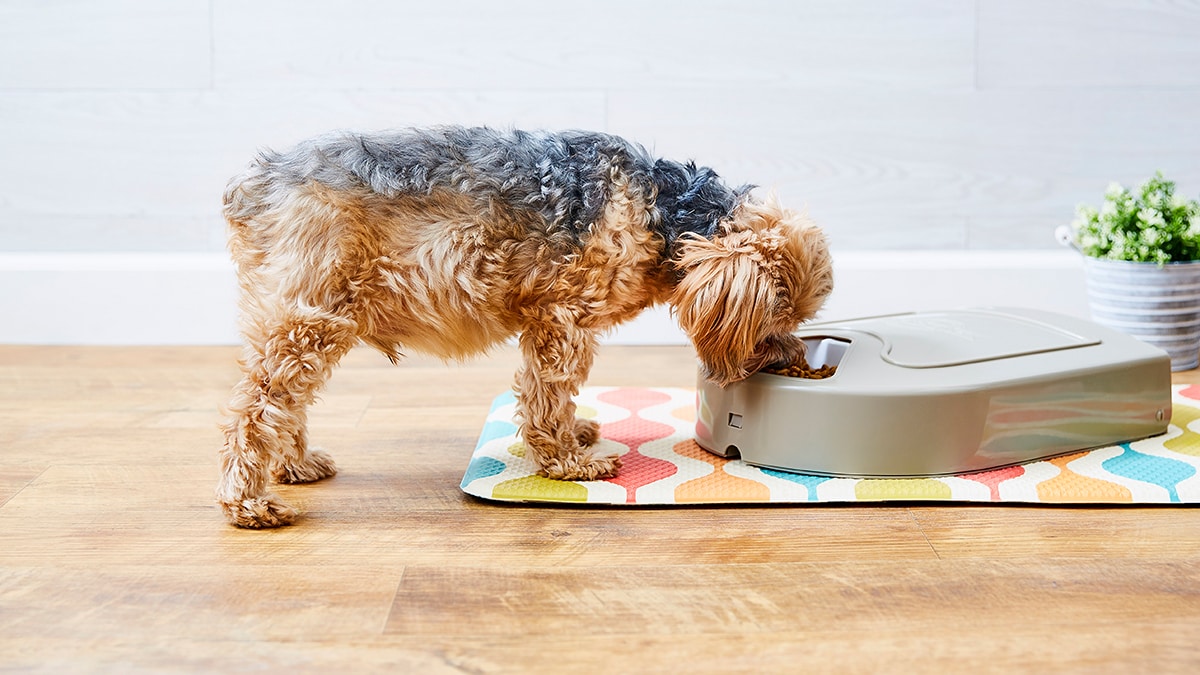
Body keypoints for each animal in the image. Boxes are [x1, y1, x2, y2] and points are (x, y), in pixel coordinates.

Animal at [218, 124, 835, 526]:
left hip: (296, 322)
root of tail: (253, 186)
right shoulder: (562, 320)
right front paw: (570, 463)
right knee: (254, 407)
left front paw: (576, 435)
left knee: (282, 404)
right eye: (775, 319)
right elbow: (547, 396)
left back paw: (294, 465)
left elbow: (555, 399)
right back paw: (248, 502)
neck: (665, 214)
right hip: (308, 322)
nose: (794, 361)